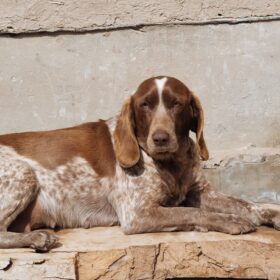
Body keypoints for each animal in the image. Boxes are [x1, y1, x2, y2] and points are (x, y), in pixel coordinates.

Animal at [0, 76, 280, 252]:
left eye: (176, 104)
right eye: (145, 105)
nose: (160, 138)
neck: (171, 163)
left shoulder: (201, 193)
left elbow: (248, 204)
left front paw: (270, 214)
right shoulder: (137, 213)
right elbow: (191, 212)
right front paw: (230, 220)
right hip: (23, 173)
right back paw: (38, 238)